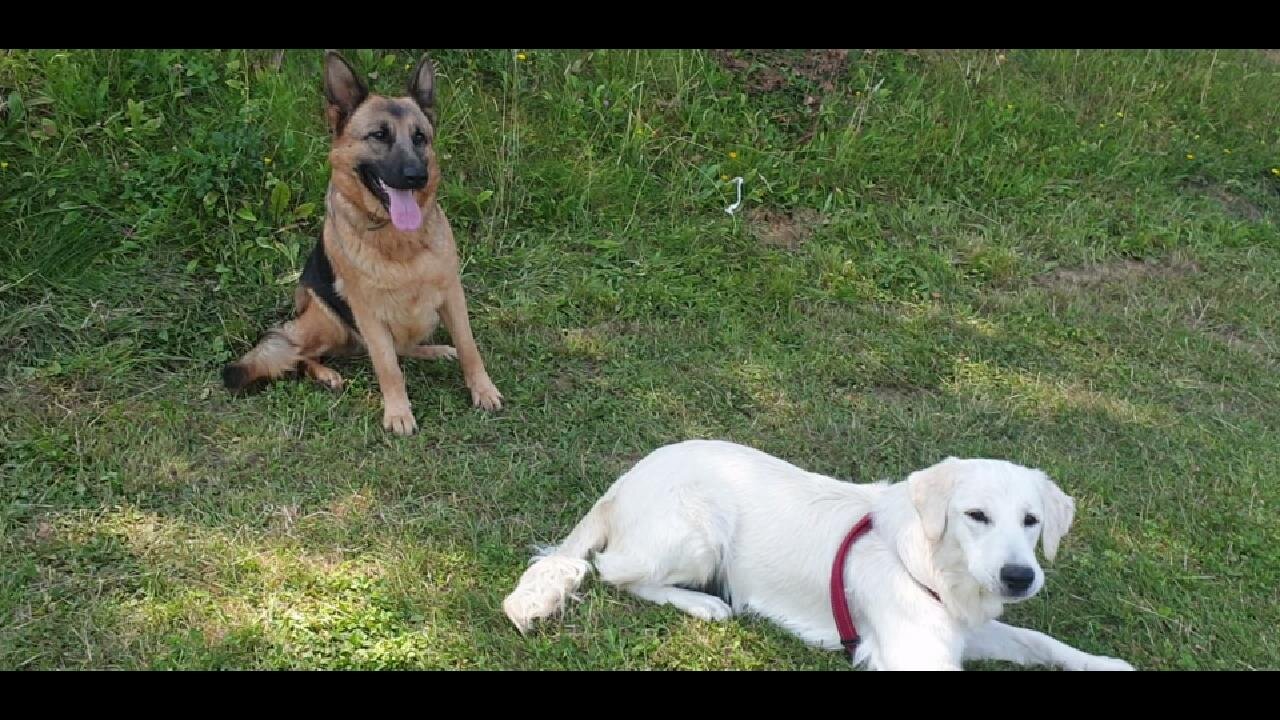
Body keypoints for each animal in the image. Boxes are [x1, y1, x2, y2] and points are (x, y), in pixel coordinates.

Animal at [222, 51, 501, 430]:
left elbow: (469, 348)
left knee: (402, 348)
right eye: (379, 135)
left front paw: (483, 389)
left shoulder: (452, 296)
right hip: (329, 324)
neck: (397, 240)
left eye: (420, 138)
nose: (417, 175)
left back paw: (434, 350)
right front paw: (398, 412)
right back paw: (326, 374)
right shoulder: (368, 313)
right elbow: (387, 367)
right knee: (296, 351)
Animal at [504, 438, 1136, 666]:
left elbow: (1039, 641)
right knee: (612, 570)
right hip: (700, 533)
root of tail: (624, 481)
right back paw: (705, 604)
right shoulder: (915, 651)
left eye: (1032, 521)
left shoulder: (960, 628)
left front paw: (1105, 664)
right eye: (976, 515)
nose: (1019, 577)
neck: (936, 567)